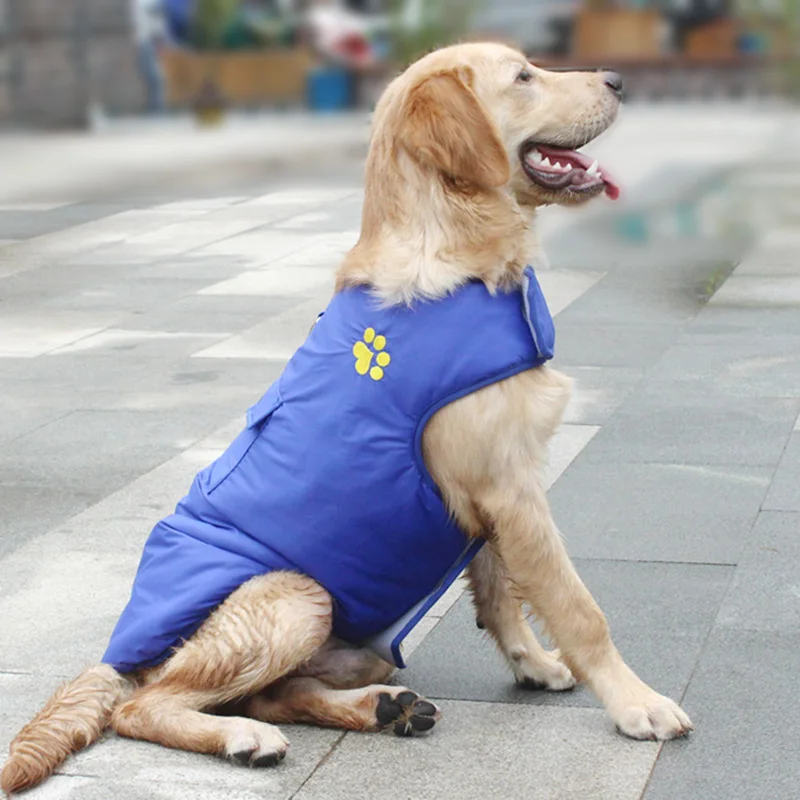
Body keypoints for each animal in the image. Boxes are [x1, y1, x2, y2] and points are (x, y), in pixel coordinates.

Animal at [0, 42, 692, 792]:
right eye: (524, 77)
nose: (618, 79)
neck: (457, 257)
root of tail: (116, 657)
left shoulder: (491, 495)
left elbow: (500, 590)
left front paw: (532, 663)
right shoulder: (507, 484)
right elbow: (577, 606)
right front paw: (637, 703)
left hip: (359, 641)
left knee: (277, 692)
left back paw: (383, 708)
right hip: (296, 596)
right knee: (149, 708)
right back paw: (247, 737)